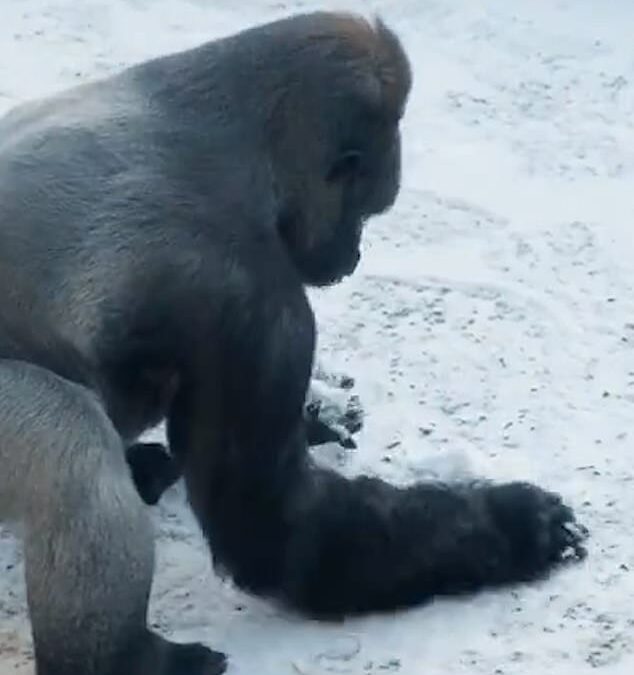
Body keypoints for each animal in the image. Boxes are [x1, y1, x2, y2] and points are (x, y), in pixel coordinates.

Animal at [0, 11, 588, 675]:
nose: (352, 256)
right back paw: (126, 658)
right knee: (71, 439)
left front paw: (320, 414)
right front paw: (515, 526)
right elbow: (278, 532)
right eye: (365, 209)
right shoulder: (253, 298)